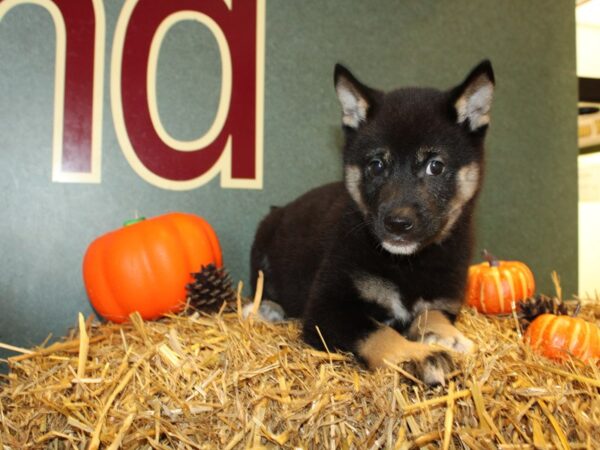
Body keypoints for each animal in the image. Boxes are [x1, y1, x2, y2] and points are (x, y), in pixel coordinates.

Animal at [251, 59, 494, 384]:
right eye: (376, 165)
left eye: (436, 166)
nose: (398, 223)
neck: (409, 264)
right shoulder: (327, 309)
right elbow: (379, 333)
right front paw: (417, 355)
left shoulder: (444, 301)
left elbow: (431, 315)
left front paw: (449, 337)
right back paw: (265, 308)